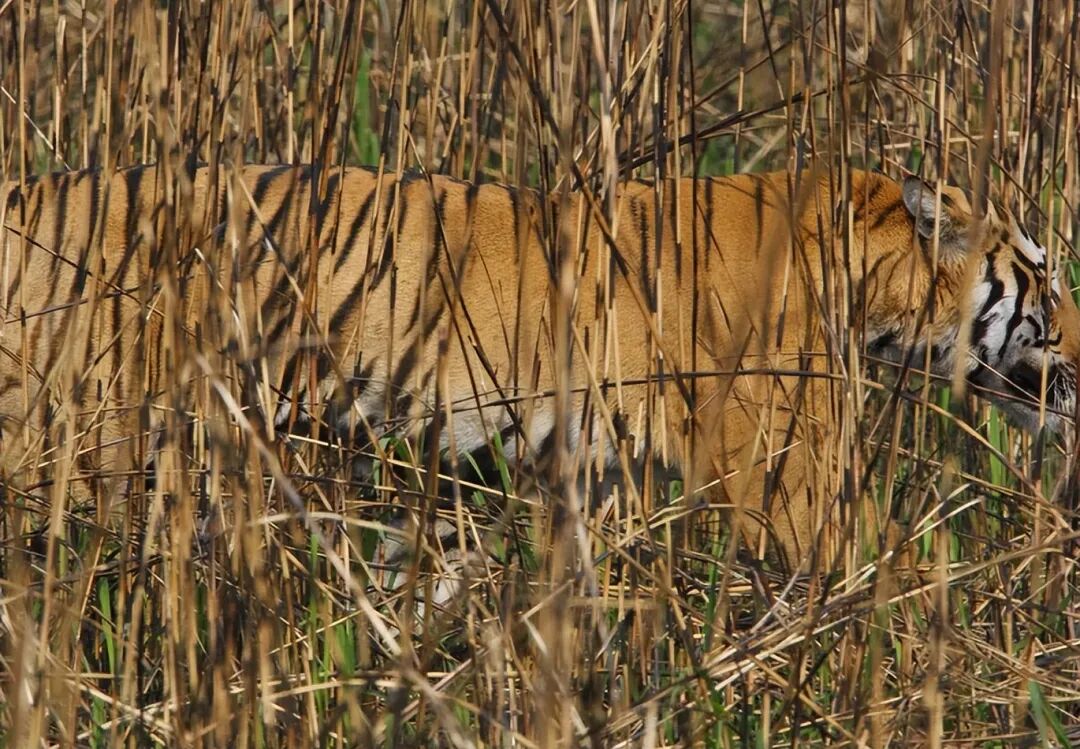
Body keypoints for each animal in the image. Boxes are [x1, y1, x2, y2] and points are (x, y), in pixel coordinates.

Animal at [0, 163, 1076, 570]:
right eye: (1041, 273)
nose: (1078, 344)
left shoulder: (587, 469)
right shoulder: (785, 478)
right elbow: (887, 565)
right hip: (78, 438)